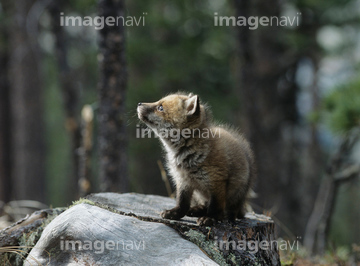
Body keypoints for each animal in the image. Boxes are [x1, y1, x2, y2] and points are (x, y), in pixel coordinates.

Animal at [136, 92, 255, 225]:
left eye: (160, 108)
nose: (139, 103)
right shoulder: (183, 181)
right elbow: (182, 203)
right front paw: (174, 213)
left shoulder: (216, 182)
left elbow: (215, 206)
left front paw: (210, 218)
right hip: (200, 194)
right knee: (204, 205)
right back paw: (196, 210)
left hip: (236, 195)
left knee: (229, 212)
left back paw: (223, 216)